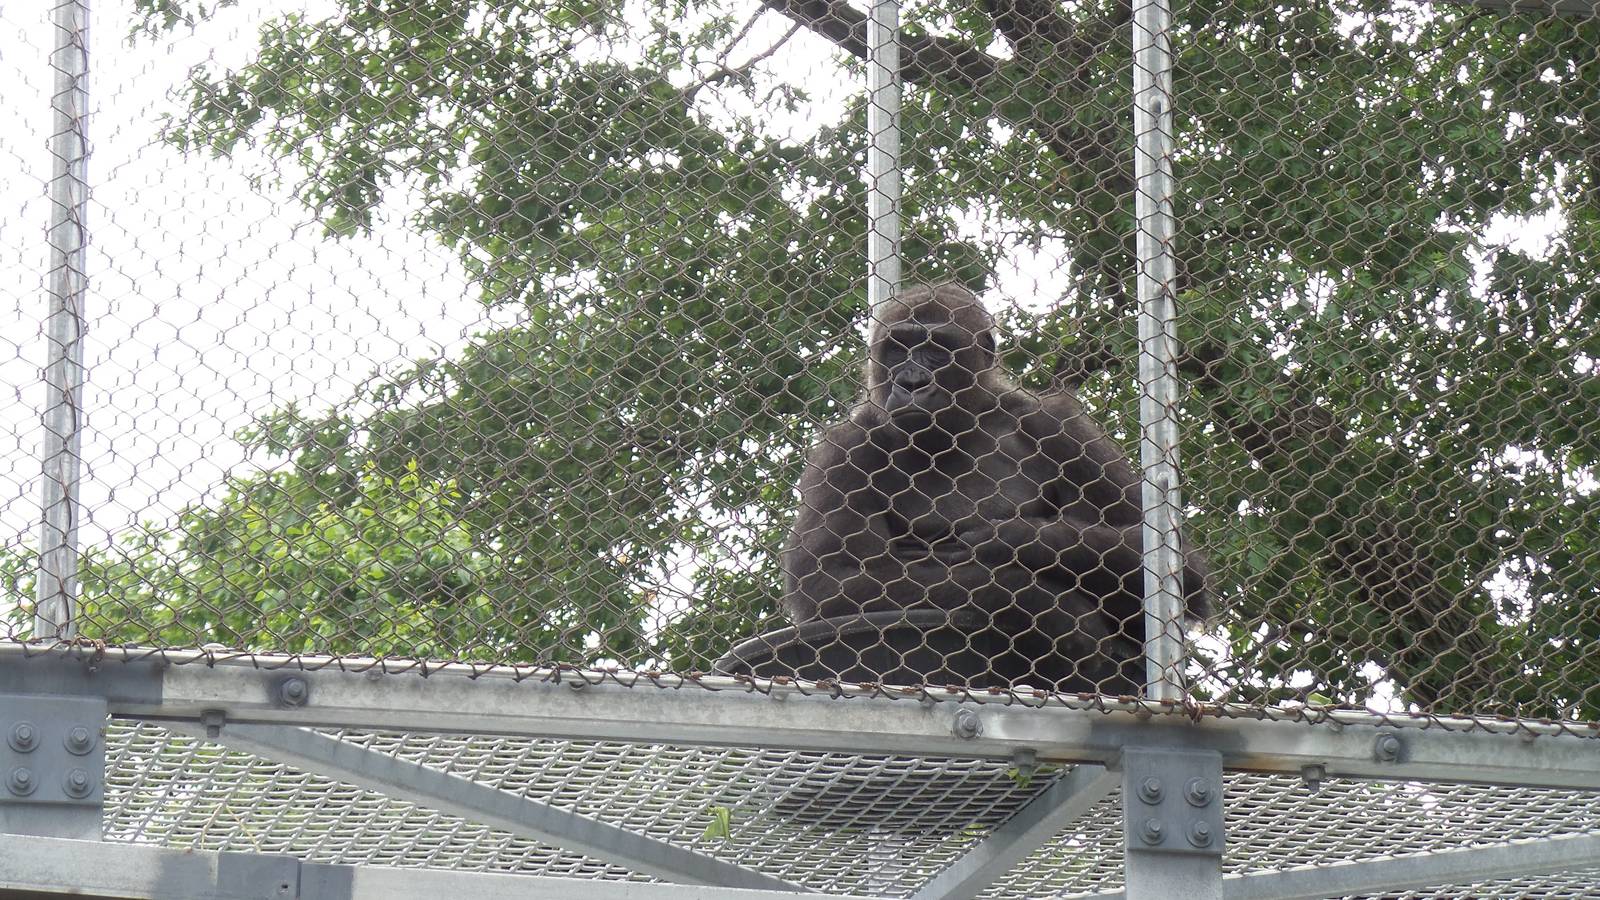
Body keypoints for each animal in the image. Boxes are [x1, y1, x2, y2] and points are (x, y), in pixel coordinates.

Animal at [780, 282, 1208, 694]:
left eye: (936, 351)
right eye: (898, 349)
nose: (911, 382)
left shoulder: (1058, 425)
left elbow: (1174, 561)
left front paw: (1011, 540)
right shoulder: (844, 450)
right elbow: (831, 581)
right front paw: (1045, 604)